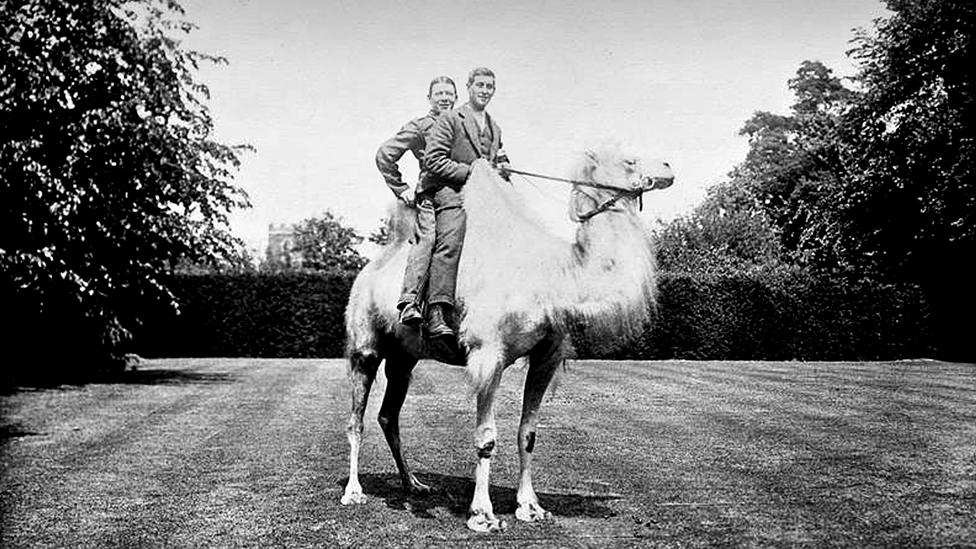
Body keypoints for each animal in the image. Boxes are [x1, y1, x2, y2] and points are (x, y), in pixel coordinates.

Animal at [338, 144, 672, 532]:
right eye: (629, 160)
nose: (667, 167)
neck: (552, 276)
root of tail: (368, 272)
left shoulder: (546, 355)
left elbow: (528, 434)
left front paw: (530, 506)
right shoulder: (487, 353)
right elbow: (486, 438)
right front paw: (482, 515)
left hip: (405, 358)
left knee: (388, 415)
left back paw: (414, 484)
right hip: (365, 346)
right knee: (356, 418)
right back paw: (353, 491)